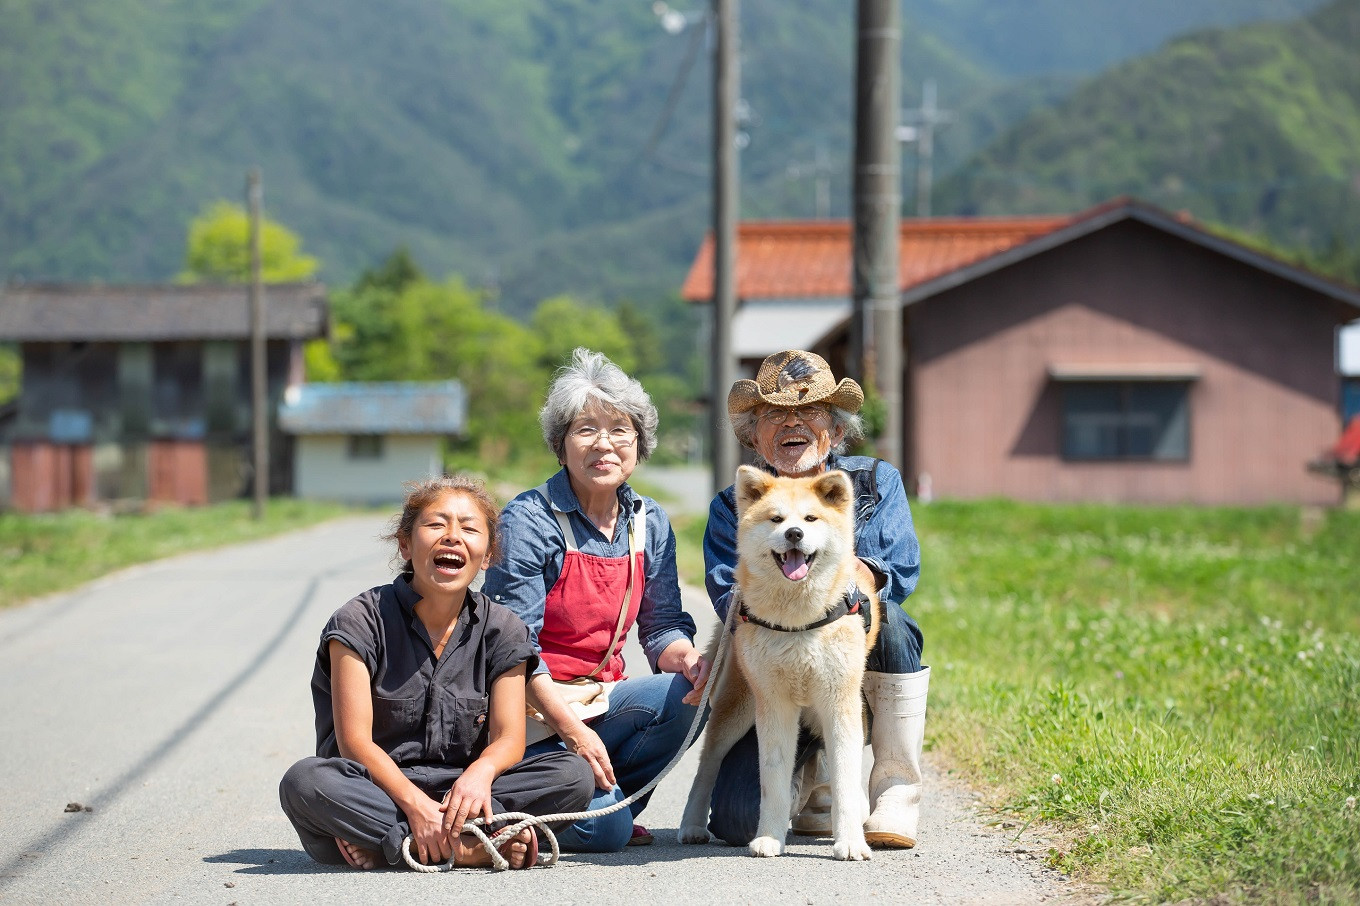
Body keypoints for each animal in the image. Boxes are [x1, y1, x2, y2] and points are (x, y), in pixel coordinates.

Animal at [680, 462, 881, 859]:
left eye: (811, 518)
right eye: (776, 519)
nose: (793, 533)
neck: (798, 622)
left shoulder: (840, 706)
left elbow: (845, 781)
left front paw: (850, 840)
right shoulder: (774, 706)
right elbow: (772, 781)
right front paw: (770, 838)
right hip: (737, 709)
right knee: (707, 767)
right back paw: (692, 825)